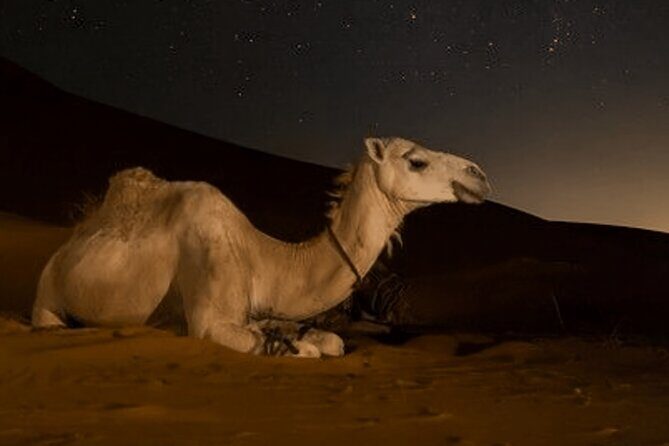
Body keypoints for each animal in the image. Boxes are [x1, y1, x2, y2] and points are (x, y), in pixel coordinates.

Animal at [32, 137, 491, 357]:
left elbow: (330, 341)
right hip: (49, 291)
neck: (262, 256)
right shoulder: (211, 321)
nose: (479, 174)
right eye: (416, 161)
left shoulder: (265, 310)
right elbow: (304, 350)